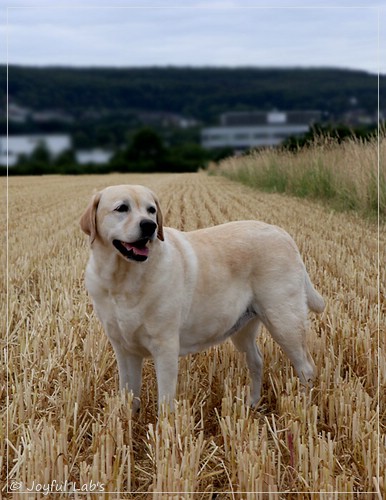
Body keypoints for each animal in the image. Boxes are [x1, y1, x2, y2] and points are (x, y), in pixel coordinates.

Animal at [80, 186, 324, 412]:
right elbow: (128, 396)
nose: (150, 226)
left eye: (151, 210)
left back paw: (302, 408)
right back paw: (252, 403)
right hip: (243, 328)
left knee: (306, 368)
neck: (123, 280)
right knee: (256, 361)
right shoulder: (123, 349)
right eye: (122, 208)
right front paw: (128, 422)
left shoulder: (165, 347)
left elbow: (165, 403)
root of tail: (283, 233)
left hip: (284, 321)